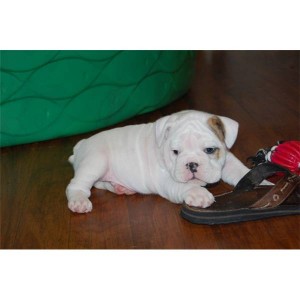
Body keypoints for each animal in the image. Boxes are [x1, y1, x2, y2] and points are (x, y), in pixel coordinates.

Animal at [65, 110, 248, 213]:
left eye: (209, 150)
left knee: (99, 183)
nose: (191, 164)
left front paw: (254, 179)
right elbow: (183, 185)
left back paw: (121, 188)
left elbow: (238, 170)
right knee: (77, 185)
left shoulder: (227, 160)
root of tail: (81, 145)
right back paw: (79, 201)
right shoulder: (166, 180)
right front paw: (198, 193)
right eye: (175, 152)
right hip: (96, 161)